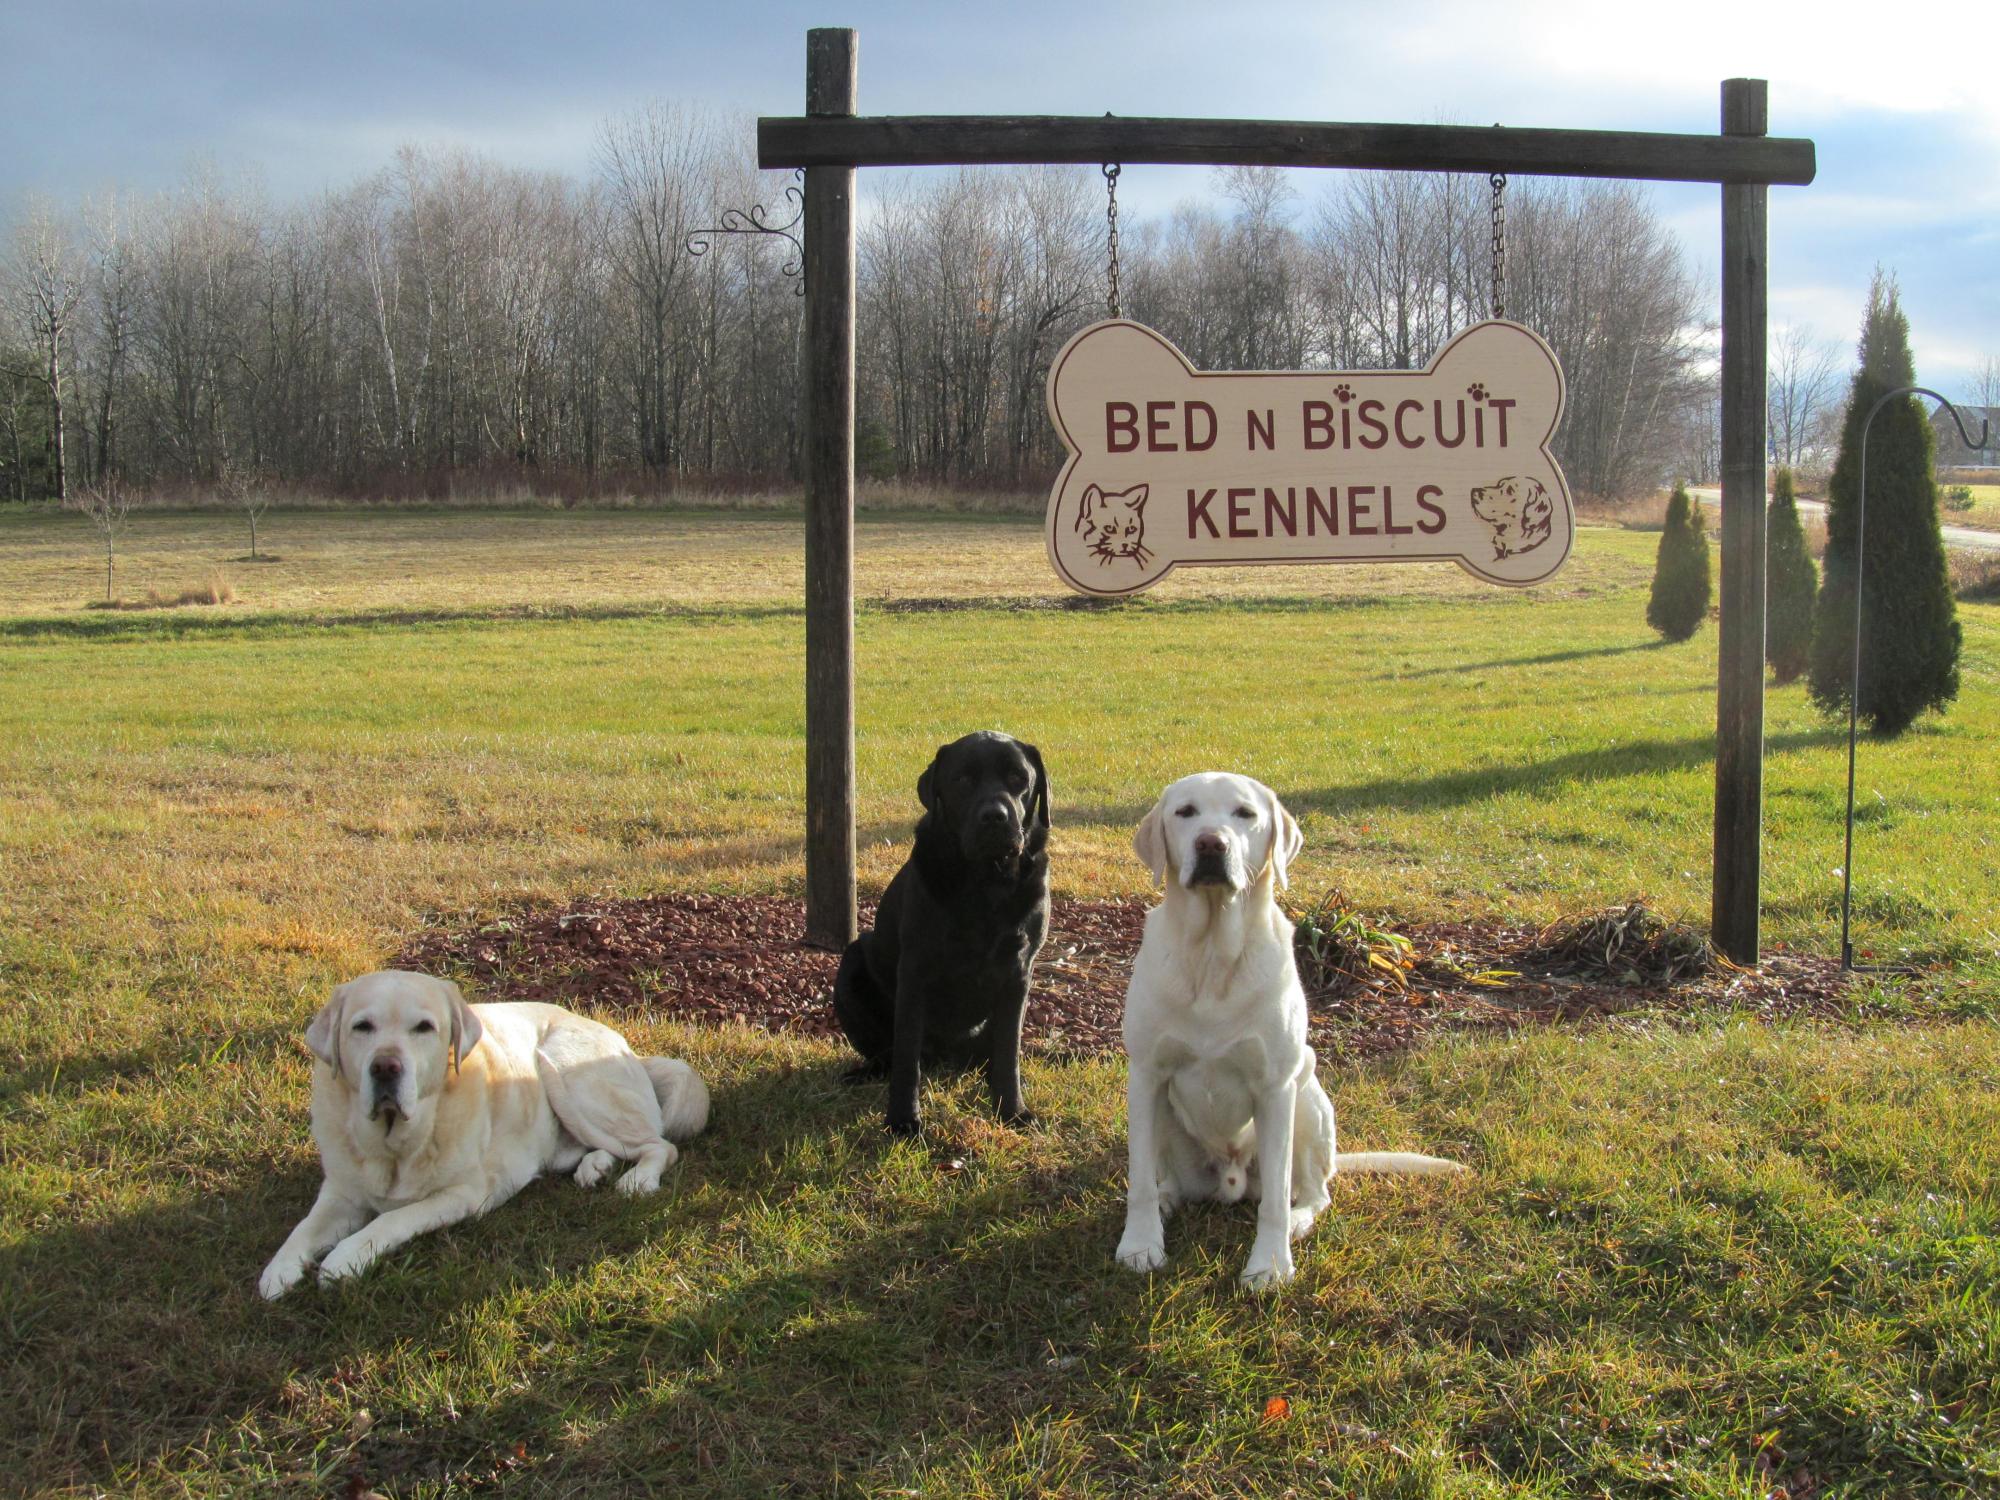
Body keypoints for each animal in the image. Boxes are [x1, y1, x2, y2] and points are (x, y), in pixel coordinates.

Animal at [832, 732, 1056, 1136]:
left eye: (1018, 778)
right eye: (962, 780)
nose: (995, 816)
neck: (987, 883)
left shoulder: (1018, 974)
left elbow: (1008, 1052)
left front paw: (1012, 1110)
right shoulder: (916, 971)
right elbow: (907, 1056)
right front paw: (903, 1120)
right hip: (853, 960)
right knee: (889, 1053)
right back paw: (865, 1073)